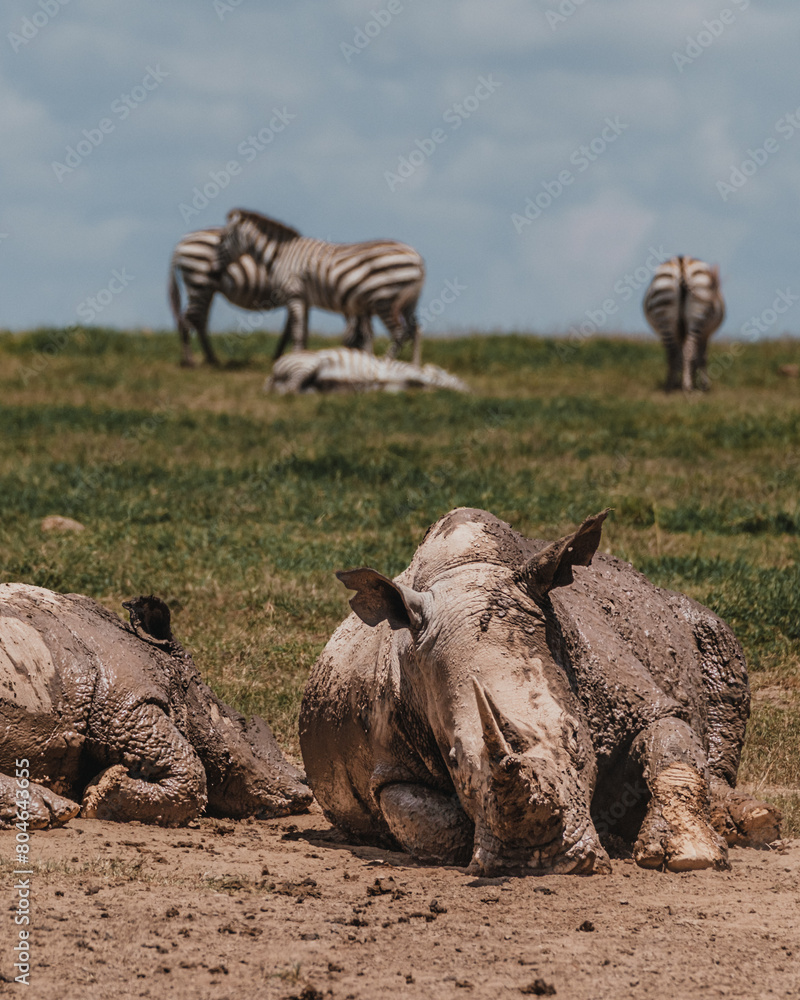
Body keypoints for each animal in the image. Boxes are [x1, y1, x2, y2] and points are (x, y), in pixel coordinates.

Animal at [0, 586, 312, 828]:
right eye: (241, 726)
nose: (305, 792)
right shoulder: (125, 703)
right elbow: (191, 769)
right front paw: (103, 790)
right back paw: (54, 811)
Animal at [168, 210, 425, 367]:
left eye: (222, 241)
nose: (213, 270)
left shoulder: (298, 296)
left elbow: (296, 330)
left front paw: (289, 358)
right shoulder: (299, 296)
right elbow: (299, 330)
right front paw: (294, 358)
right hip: (201, 284)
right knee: (192, 319)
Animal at [300, 508, 780, 875]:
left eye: (577, 738)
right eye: (453, 759)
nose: (537, 858)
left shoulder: (642, 697)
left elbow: (672, 748)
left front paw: (689, 855)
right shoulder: (386, 765)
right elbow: (430, 819)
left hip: (675, 611)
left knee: (715, 640)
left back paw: (752, 823)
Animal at [642, 255, 725, 391]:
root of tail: (682, 262)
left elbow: (680, 354)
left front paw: (680, 380)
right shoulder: (705, 334)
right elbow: (701, 356)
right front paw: (703, 384)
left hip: (664, 312)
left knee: (672, 352)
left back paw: (670, 385)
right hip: (697, 316)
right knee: (688, 350)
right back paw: (687, 386)